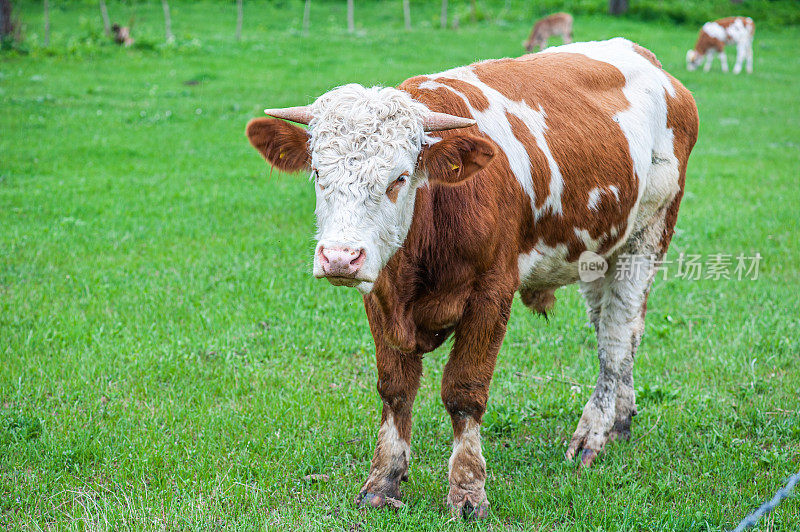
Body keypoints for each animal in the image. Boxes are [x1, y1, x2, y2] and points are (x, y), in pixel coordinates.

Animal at [247, 38, 696, 520]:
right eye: (317, 172)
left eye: (399, 177)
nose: (340, 257)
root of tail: (647, 60)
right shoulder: (380, 296)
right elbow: (395, 389)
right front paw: (383, 481)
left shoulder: (491, 295)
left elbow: (464, 392)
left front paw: (467, 490)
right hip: (601, 251)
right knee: (621, 328)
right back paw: (620, 421)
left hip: (648, 234)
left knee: (616, 335)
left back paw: (593, 435)